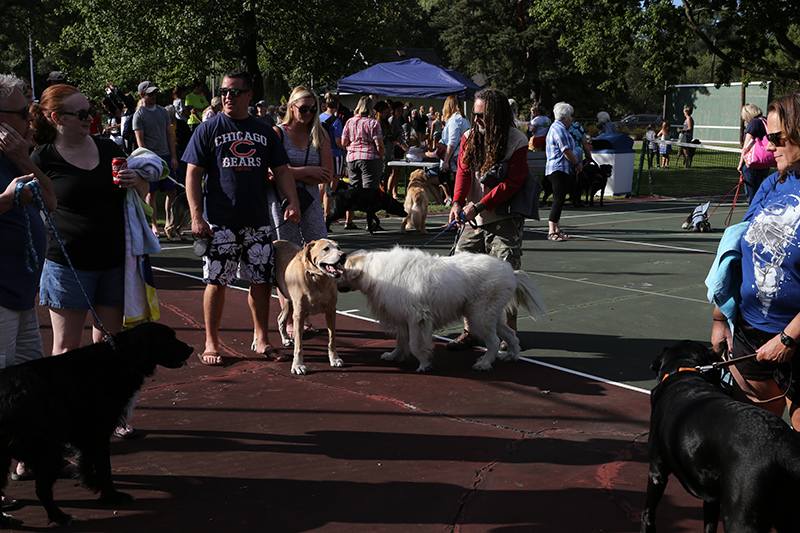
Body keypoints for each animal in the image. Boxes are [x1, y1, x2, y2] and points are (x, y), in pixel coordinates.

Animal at [0, 320, 193, 524]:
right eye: (169, 338)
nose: (191, 348)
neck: (119, 357)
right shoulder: (99, 431)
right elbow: (104, 467)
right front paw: (112, 496)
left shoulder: (84, 432)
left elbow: (86, 463)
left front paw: (92, 484)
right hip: (48, 448)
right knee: (42, 490)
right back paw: (60, 517)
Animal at [338, 247, 544, 372]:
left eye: (341, 270)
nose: (335, 282)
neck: (373, 271)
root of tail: (511, 272)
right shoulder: (403, 319)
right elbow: (401, 343)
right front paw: (394, 356)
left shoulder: (417, 318)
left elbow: (414, 345)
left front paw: (424, 364)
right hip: (488, 315)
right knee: (511, 335)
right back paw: (511, 355)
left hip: (479, 316)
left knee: (493, 341)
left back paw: (484, 363)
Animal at [640, 340, 800, 532]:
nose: (723, 342)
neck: (685, 371)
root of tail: (785, 449)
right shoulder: (712, 497)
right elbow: (710, 525)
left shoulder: (657, 472)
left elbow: (648, 514)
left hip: (740, 519)